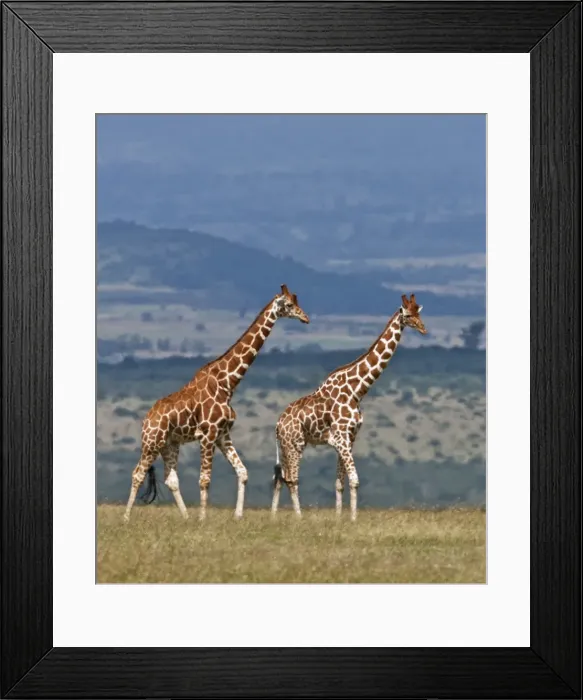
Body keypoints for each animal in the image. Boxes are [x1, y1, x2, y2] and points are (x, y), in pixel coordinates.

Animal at [123, 284, 309, 523]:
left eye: (297, 301)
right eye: (289, 304)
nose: (305, 318)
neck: (227, 384)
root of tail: (146, 420)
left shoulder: (223, 435)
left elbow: (242, 472)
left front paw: (237, 515)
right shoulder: (208, 434)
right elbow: (205, 479)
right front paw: (203, 519)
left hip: (169, 444)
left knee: (171, 479)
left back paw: (186, 517)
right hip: (152, 442)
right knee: (137, 473)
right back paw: (126, 518)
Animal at [271, 293, 427, 521]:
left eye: (419, 313)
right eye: (407, 315)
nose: (423, 328)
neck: (357, 391)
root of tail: (277, 424)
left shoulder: (348, 438)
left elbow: (339, 482)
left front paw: (340, 518)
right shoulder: (341, 438)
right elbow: (354, 479)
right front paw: (353, 519)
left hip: (285, 446)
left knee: (279, 477)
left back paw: (273, 515)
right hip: (295, 444)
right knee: (292, 479)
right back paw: (298, 517)